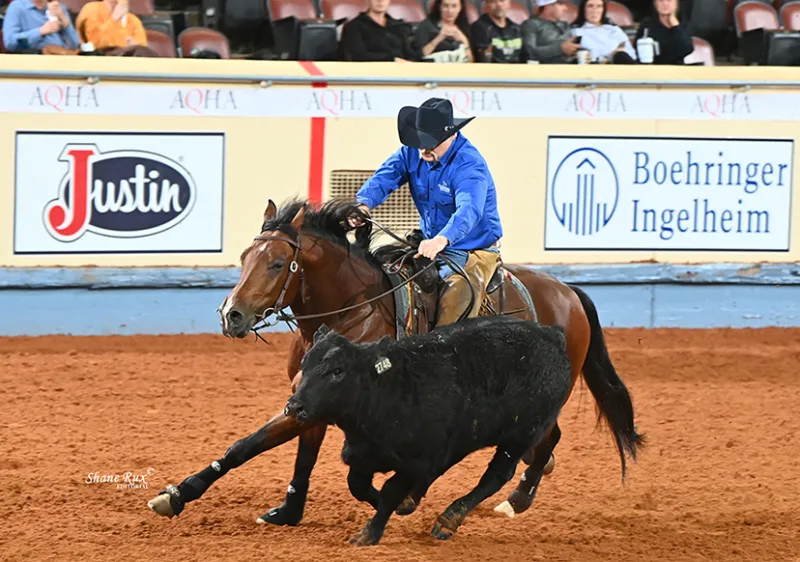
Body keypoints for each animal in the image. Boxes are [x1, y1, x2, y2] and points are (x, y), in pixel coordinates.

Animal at [146, 197, 644, 527]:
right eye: (245, 255)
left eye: (275, 264)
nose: (231, 315)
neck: (352, 313)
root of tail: (568, 293)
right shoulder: (306, 401)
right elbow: (256, 448)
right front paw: (188, 496)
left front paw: (402, 500)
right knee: (545, 441)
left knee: (545, 438)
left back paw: (517, 497)